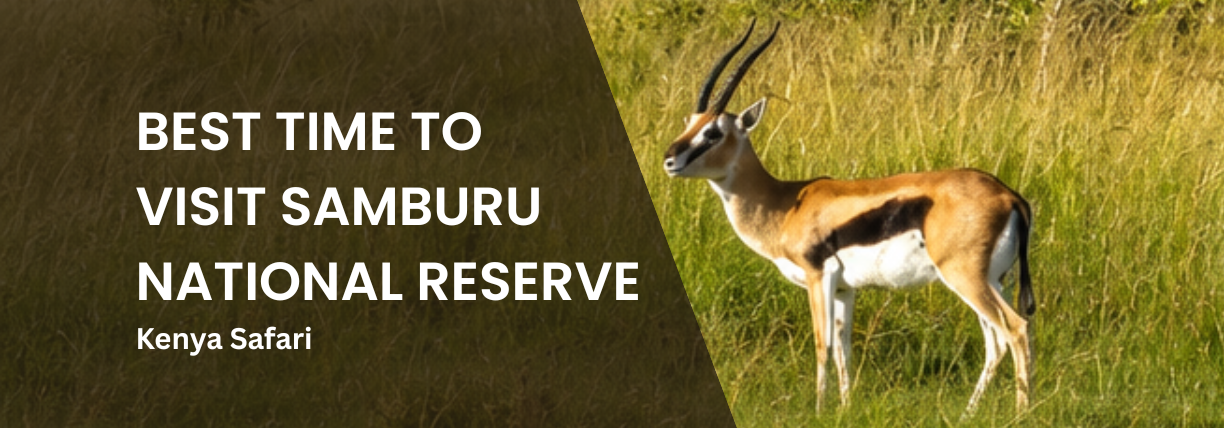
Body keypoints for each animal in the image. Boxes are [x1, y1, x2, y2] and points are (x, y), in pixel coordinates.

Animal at [663, 21, 1036, 414]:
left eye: (713, 132)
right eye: (689, 122)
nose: (669, 160)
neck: (786, 204)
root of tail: (1009, 196)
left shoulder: (818, 277)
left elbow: (822, 345)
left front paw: (818, 409)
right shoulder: (845, 289)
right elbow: (844, 349)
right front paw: (844, 407)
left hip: (965, 277)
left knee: (1016, 329)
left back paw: (1020, 412)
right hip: (993, 281)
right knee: (996, 343)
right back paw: (968, 412)